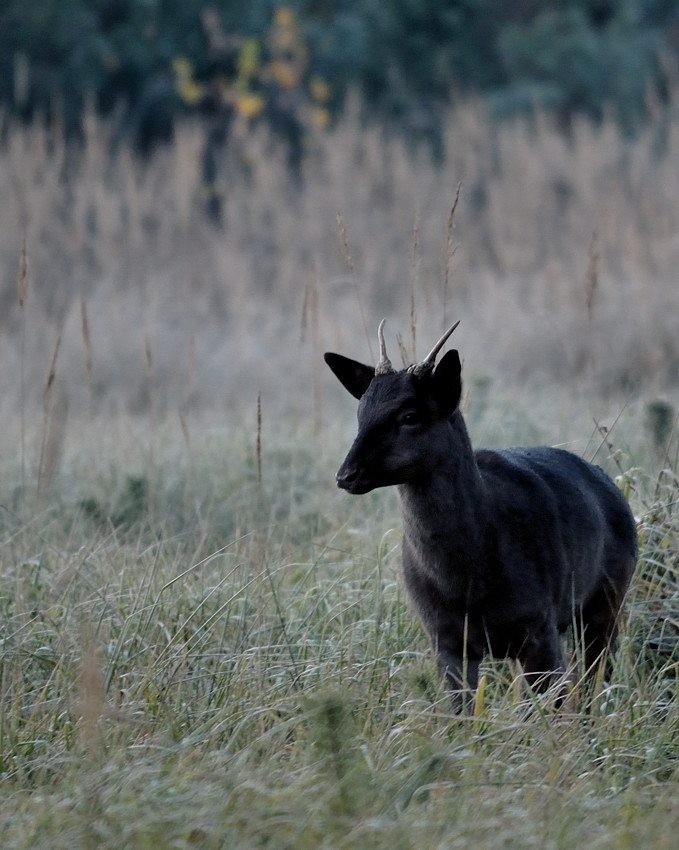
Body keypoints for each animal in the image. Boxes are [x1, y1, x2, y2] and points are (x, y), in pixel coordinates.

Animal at [326, 322, 640, 704]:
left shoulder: (540, 625)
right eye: (361, 413)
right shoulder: (445, 639)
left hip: (607, 598)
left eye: (410, 416)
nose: (346, 475)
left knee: (597, 681)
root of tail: (612, 487)